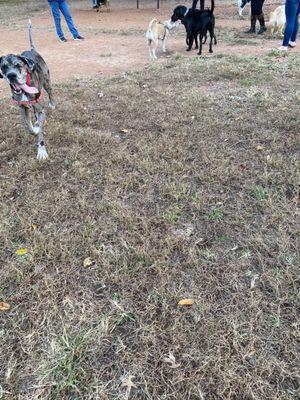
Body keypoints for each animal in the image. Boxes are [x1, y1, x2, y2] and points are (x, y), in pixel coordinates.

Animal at [0, 19, 54, 159]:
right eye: (4, 67)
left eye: (18, 65)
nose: (11, 76)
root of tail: (32, 50)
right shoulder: (22, 108)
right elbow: (28, 127)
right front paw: (34, 129)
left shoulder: (41, 110)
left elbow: (41, 134)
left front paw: (41, 150)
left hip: (47, 82)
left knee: (50, 93)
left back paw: (52, 104)